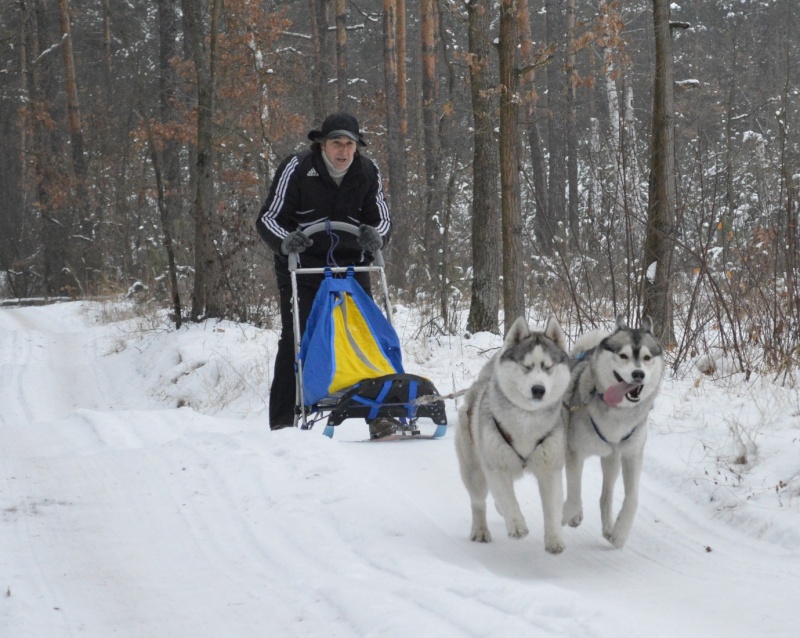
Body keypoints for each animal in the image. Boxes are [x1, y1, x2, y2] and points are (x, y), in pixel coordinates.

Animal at [454, 318, 572, 556]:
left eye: (548, 367)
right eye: (526, 366)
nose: (538, 389)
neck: (526, 420)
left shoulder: (550, 469)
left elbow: (552, 509)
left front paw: (554, 539)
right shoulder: (496, 467)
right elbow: (508, 499)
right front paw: (517, 525)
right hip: (474, 471)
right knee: (479, 502)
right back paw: (480, 530)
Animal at [560, 316, 664, 552]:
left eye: (646, 357)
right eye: (623, 355)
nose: (638, 374)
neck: (618, 413)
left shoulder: (632, 455)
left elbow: (632, 499)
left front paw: (620, 533)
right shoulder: (574, 452)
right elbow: (574, 493)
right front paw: (567, 514)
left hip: (612, 460)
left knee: (605, 497)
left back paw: (609, 529)